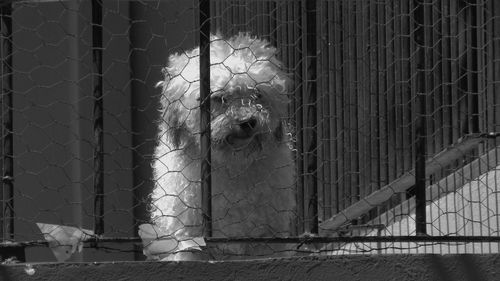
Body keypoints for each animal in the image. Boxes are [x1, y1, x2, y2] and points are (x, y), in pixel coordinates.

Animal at [150, 32, 294, 258]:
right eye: (219, 98)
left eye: (257, 94)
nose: (247, 121)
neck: (231, 165)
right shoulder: (189, 238)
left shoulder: (268, 237)